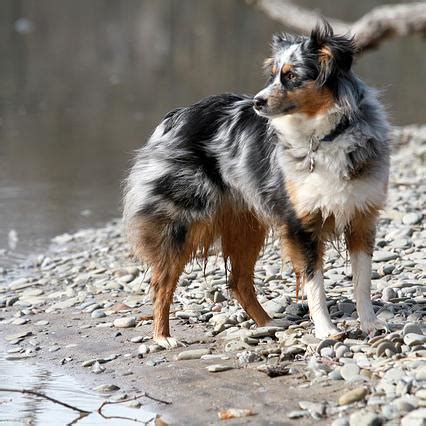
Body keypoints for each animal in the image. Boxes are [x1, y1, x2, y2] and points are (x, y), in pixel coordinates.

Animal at [122, 21, 390, 348]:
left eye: (291, 76)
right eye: (272, 74)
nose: (256, 102)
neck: (324, 136)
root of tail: (176, 116)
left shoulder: (362, 217)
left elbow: (362, 281)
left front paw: (370, 324)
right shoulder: (301, 225)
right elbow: (314, 283)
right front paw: (326, 330)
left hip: (246, 224)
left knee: (238, 281)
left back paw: (269, 324)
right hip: (182, 222)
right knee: (163, 281)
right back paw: (163, 337)